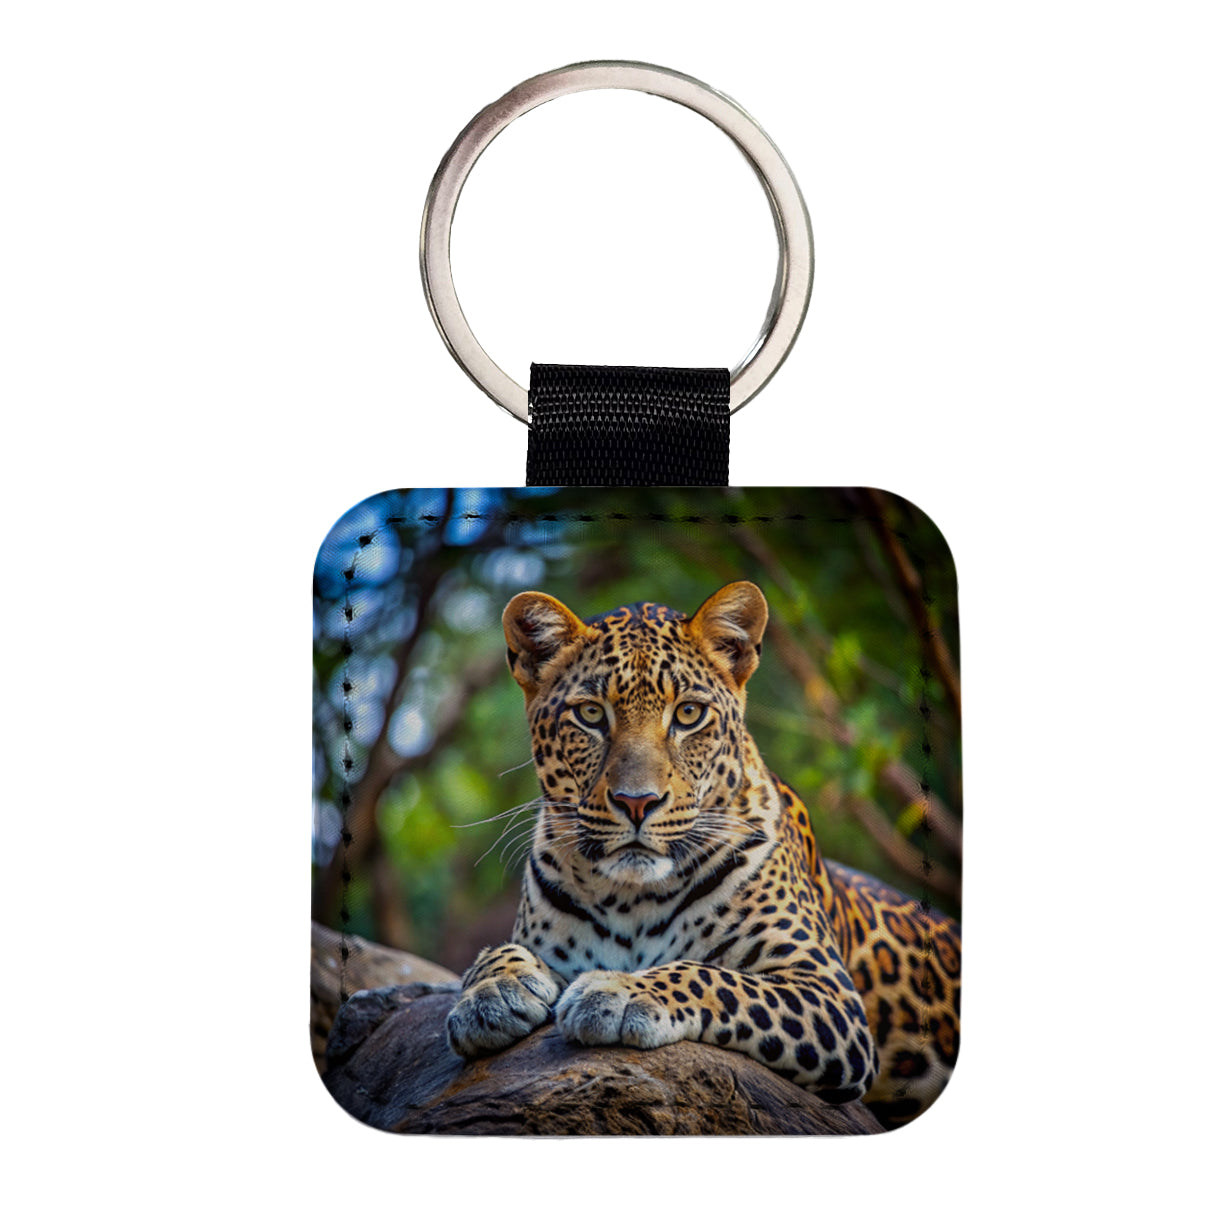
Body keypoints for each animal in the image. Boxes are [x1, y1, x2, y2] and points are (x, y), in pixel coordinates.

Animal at [446, 580, 960, 1129]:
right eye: (590, 714)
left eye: (688, 715)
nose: (637, 802)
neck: (629, 896)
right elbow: (495, 952)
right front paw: (489, 995)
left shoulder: (828, 993)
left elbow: (714, 977)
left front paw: (622, 992)